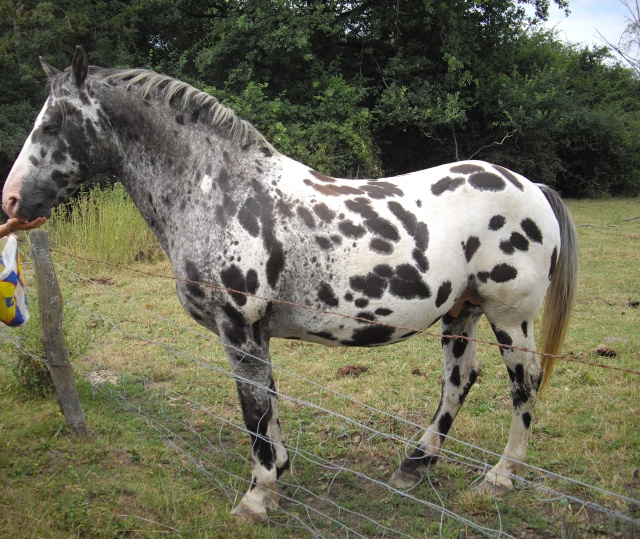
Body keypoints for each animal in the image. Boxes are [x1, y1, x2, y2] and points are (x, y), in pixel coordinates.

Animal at [2, 48, 576, 520]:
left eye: (53, 123)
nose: (11, 200)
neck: (223, 195)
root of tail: (531, 187)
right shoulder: (257, 334)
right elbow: (269, 402)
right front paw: (279, 475)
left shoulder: (239, 329)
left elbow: (253, 409)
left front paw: (257, 498)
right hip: (462, 311)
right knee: (460, 381)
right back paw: (414, 465)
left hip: (509, 317)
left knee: (524, 384)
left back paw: (500, 477)